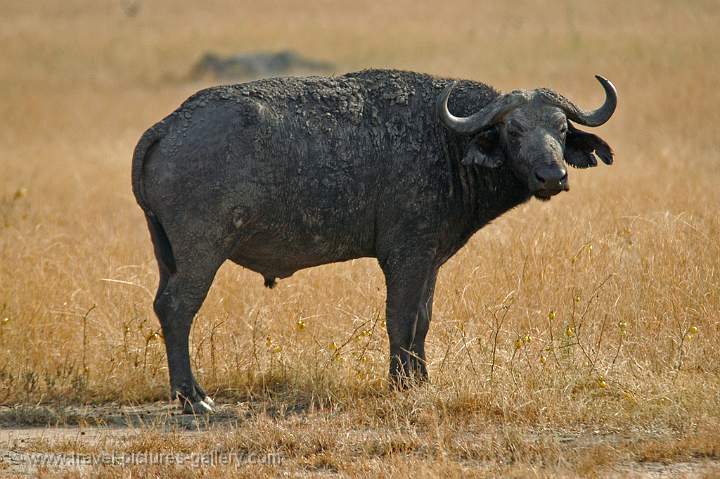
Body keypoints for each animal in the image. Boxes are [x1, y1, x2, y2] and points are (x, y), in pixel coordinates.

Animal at [132, 69, 616, 414]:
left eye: (560, 128)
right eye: (514, 130)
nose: (552, 175)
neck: (446, 141)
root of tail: (169, 125)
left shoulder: (430, 260)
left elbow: (422, 320)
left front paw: (420, 380)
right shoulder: (406, 257)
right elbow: (399, 319)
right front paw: (399, 384)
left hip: (167, 254)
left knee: (164, 305)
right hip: (202, 253)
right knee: (177, 308)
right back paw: (193, 398)